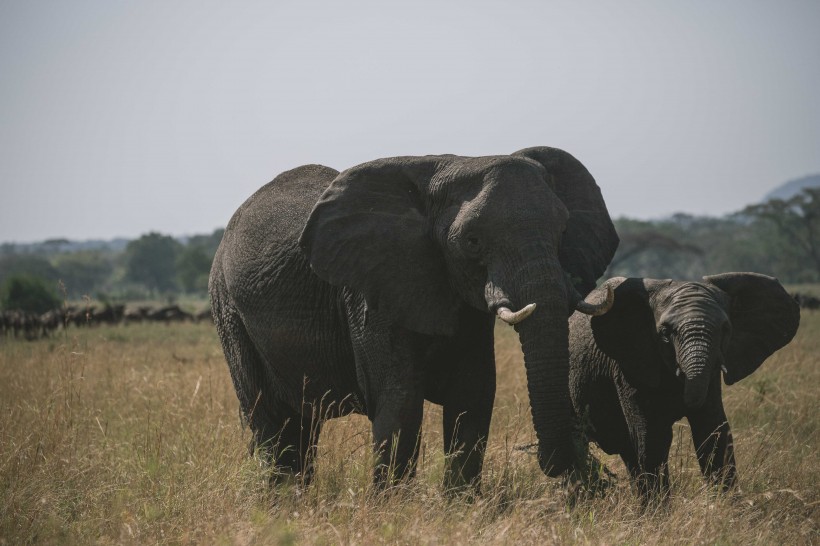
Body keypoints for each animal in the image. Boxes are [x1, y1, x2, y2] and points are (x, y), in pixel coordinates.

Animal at [208, 146, 620, 488]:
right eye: (472, 241)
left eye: (563, 231)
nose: (566, 464)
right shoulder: (372, 292)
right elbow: (400, 405)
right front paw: (391, 511)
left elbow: (473, 396)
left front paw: (461, 508)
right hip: (228, 310)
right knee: (271, 421)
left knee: (299, 426)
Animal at [568, 270, 796, 496]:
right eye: (665, 333)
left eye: (725, 329)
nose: (683, 404)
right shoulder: (630, 366)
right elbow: (652, 436)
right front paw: (659, 507)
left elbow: (714, 431)